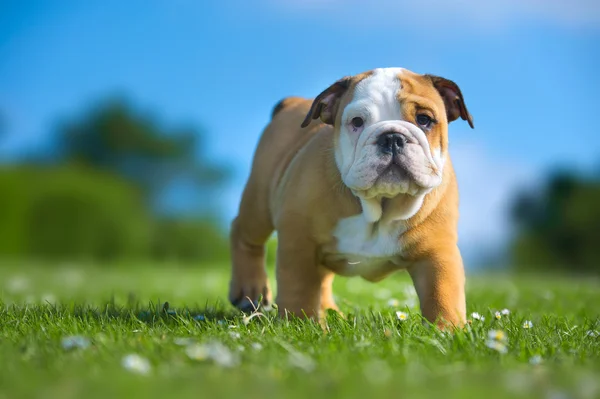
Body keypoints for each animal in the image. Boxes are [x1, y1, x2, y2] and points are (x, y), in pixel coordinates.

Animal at [230, 66, 474, 328]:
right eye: (357, 122)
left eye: (424, 120)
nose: (392, 137)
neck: (380, 207)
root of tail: (292, 102)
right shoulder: (299, 243)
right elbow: (299, 289)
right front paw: (299, 324)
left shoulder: (437, 252)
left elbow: (443, 295)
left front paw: (447, 330)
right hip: (260, 199)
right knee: (244, 233)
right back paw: (250, 290)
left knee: (322, 278)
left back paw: (329, 311)